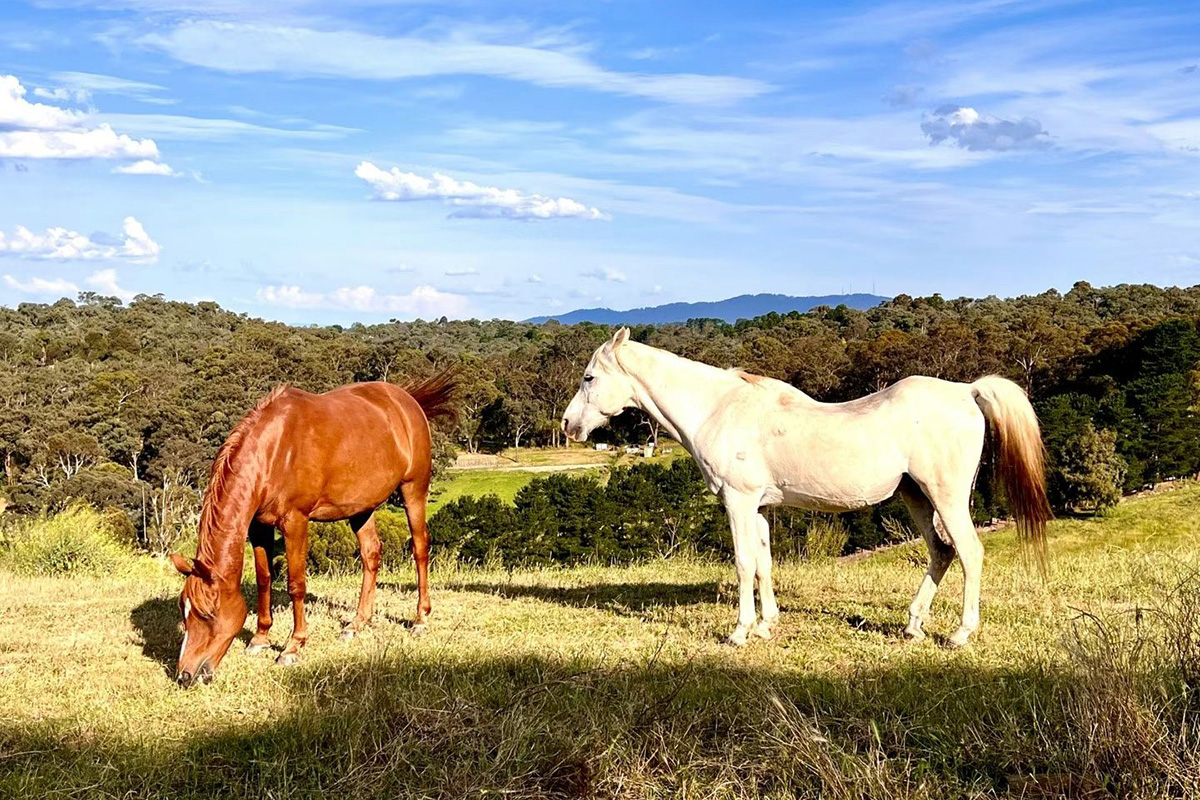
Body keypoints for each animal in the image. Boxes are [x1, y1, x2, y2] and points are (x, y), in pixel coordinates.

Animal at [166, 371, 451, 686]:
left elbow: (296, 585)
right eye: (183, 609)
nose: (185, 675)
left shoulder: (296, 522)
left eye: (208, 613)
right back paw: (357, 623)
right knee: (371, 554)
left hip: (414, 490)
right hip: (361, 509)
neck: (274, 451)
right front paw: (260, 638)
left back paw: (420, 619)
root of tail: (407, 400)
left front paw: (293, 646)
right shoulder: (258, 527)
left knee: (420, 548)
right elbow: (265, 579)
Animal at [561, 328, 1051, 647]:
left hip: (946, 498)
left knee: (969, 553)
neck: (719, 408)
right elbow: (764, 564)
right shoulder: (758, 508)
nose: (567, 426)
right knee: (941, 552)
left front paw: (740, 632)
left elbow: (743, 564)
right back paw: (912, 626)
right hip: (915, 496)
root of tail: (966, 391)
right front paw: (766, 624)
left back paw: (960, 634)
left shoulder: (738, 503)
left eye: (589, 377)